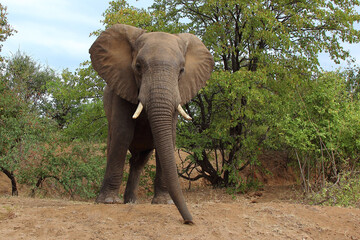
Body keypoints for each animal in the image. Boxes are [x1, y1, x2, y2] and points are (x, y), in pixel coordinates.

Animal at [89, 23, 214, 224]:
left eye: (182, 71)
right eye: (138, 67)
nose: (190, 221)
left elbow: (169, 137)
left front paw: (164, 203)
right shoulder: (122, 85)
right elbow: (123, 134)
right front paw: (108, 202)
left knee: (139, 161)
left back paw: (131, 201)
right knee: (114, 146)